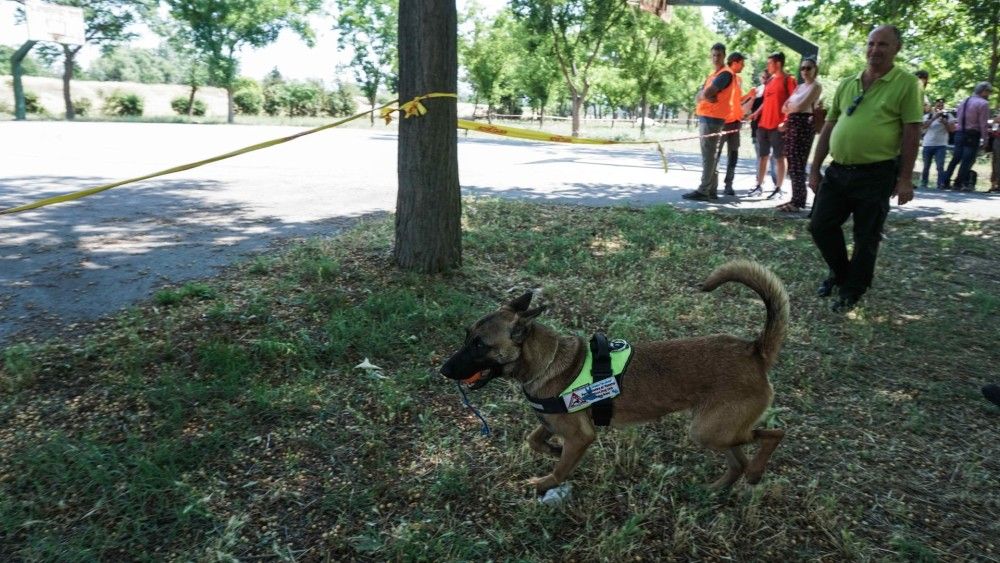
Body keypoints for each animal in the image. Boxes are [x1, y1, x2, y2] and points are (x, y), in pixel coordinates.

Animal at [438, 260, 788, 494]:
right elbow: (534, 439)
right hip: (716, 431)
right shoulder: (551, 421)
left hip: (709, 431)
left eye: (479, 345)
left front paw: (545, 481)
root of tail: (754, 350)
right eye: (467, 336)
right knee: (739, 461)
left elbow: (561, 468)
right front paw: (552, 451)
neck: (546, 360)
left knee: (774, 434)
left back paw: (755, 473)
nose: (443, 370)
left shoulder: (580, 436)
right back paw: (716, 488)